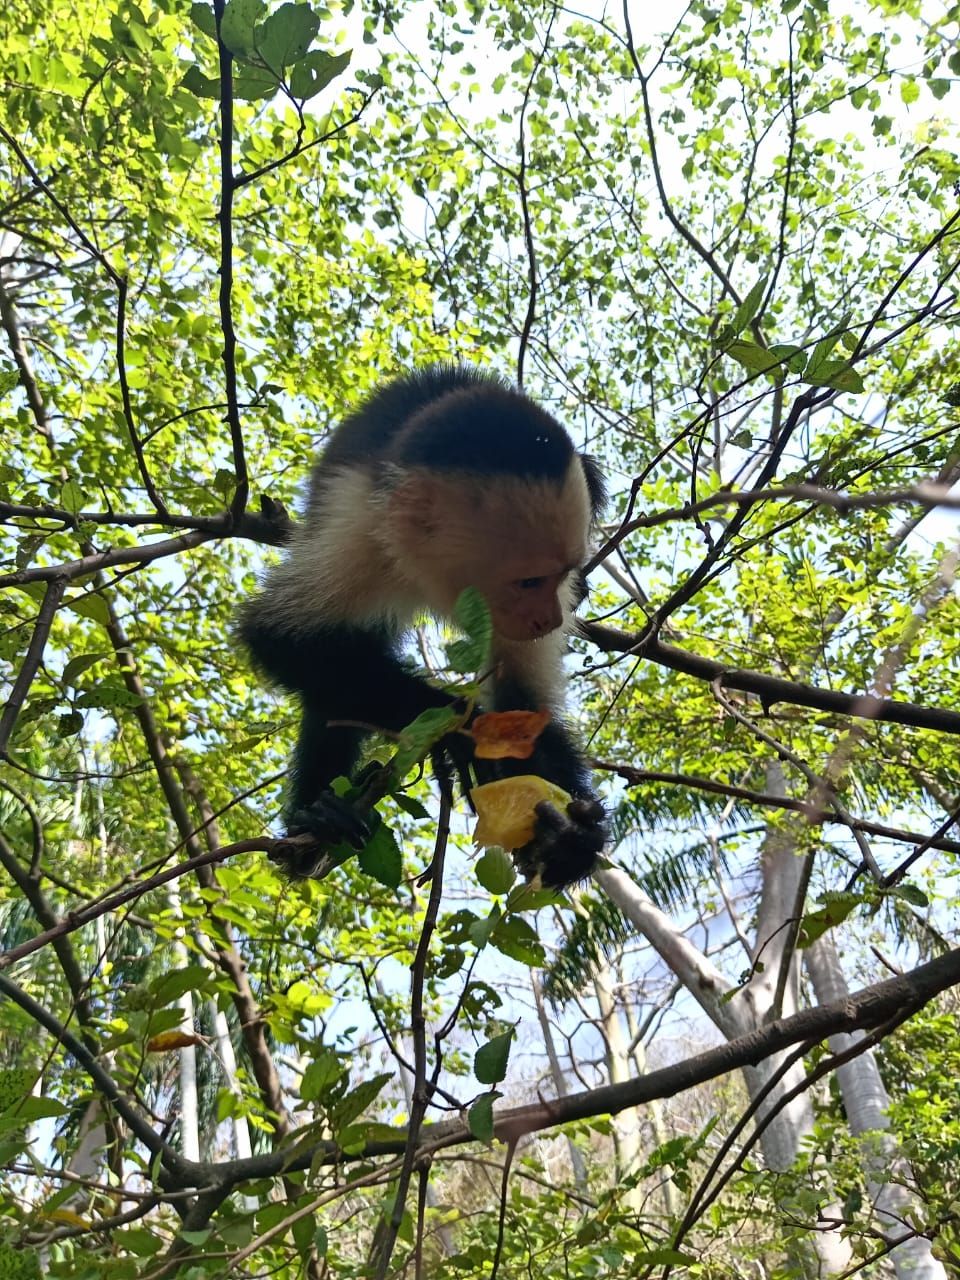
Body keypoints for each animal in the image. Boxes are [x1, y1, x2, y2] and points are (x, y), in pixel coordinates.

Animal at [238, 365, 607, 889]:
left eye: (560, 574)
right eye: (528, 581)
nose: (551, 618)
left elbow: (525, 702)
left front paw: (568, 839)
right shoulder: (360, 535)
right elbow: (280, 638)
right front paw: (465, 733)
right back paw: (318, 822)